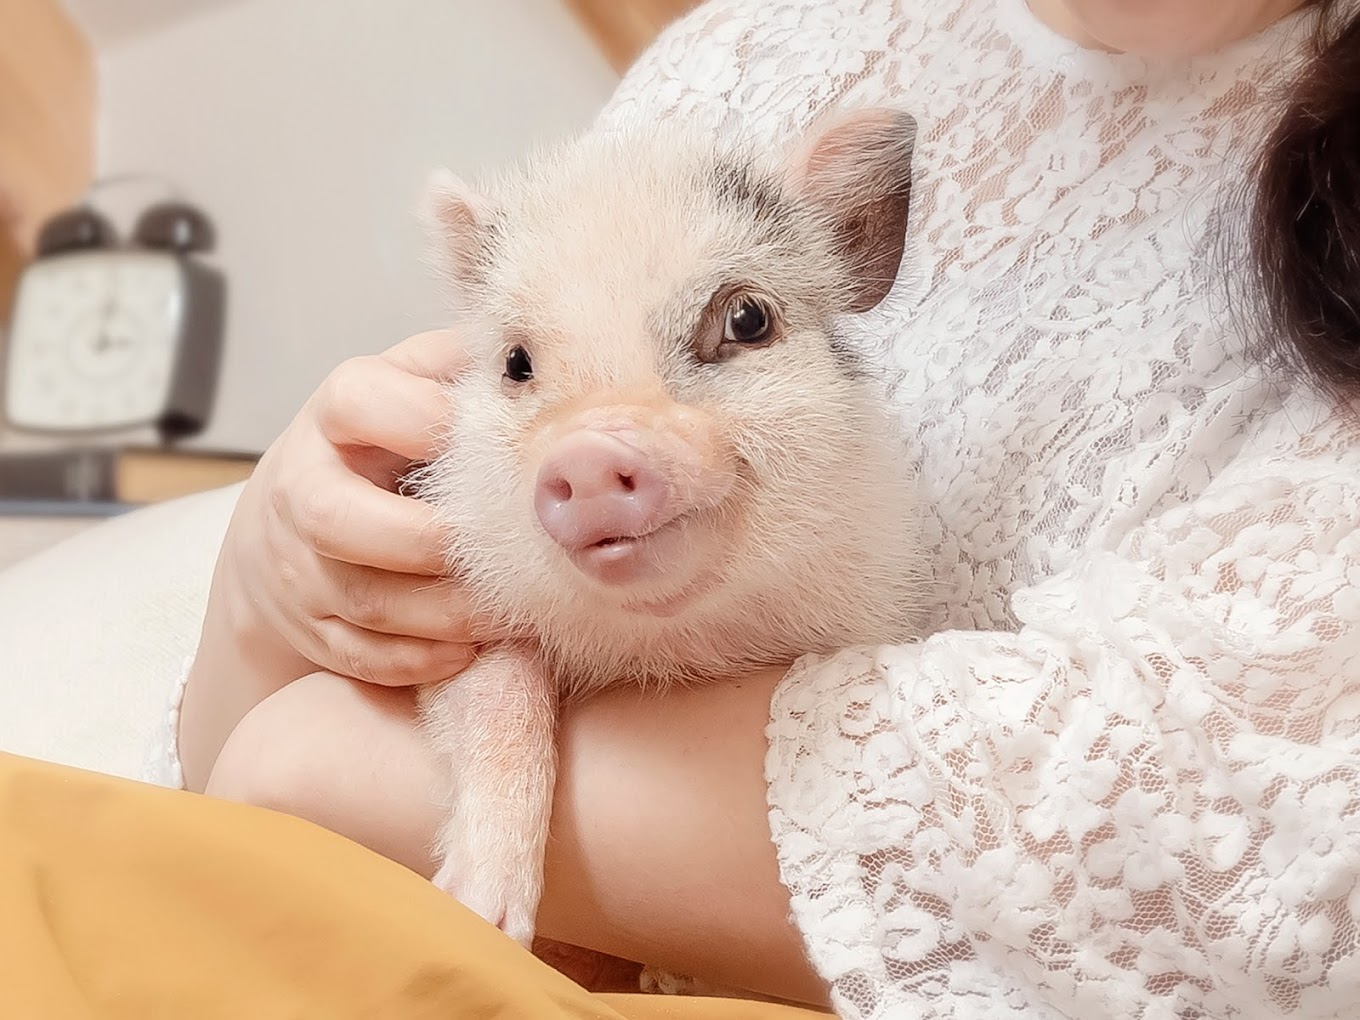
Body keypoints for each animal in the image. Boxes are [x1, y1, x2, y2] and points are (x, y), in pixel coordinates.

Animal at [411, 106, 925, 950]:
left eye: (746, 318)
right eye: (517, 362)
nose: (588, 453)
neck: (660, 649)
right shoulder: (458, 609)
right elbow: (501, 698)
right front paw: (480, 918)